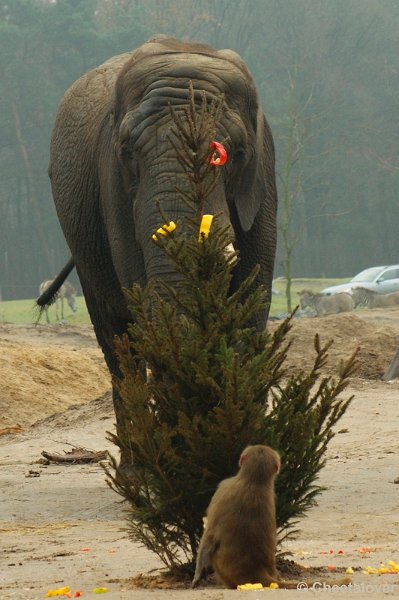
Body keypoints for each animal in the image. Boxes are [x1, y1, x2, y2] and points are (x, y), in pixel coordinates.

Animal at [45, 35, 278, 472]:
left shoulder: (264, 182)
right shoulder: (113, 189)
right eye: (127, 151)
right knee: (118, 343)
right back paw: (137, 472)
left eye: (235, 152)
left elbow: (252, 299)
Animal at [193, 442, 282, 588]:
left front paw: (198, 575)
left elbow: (209, 535)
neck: (254, 482)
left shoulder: (223, 488)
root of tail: (258, 571)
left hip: (224, 571)